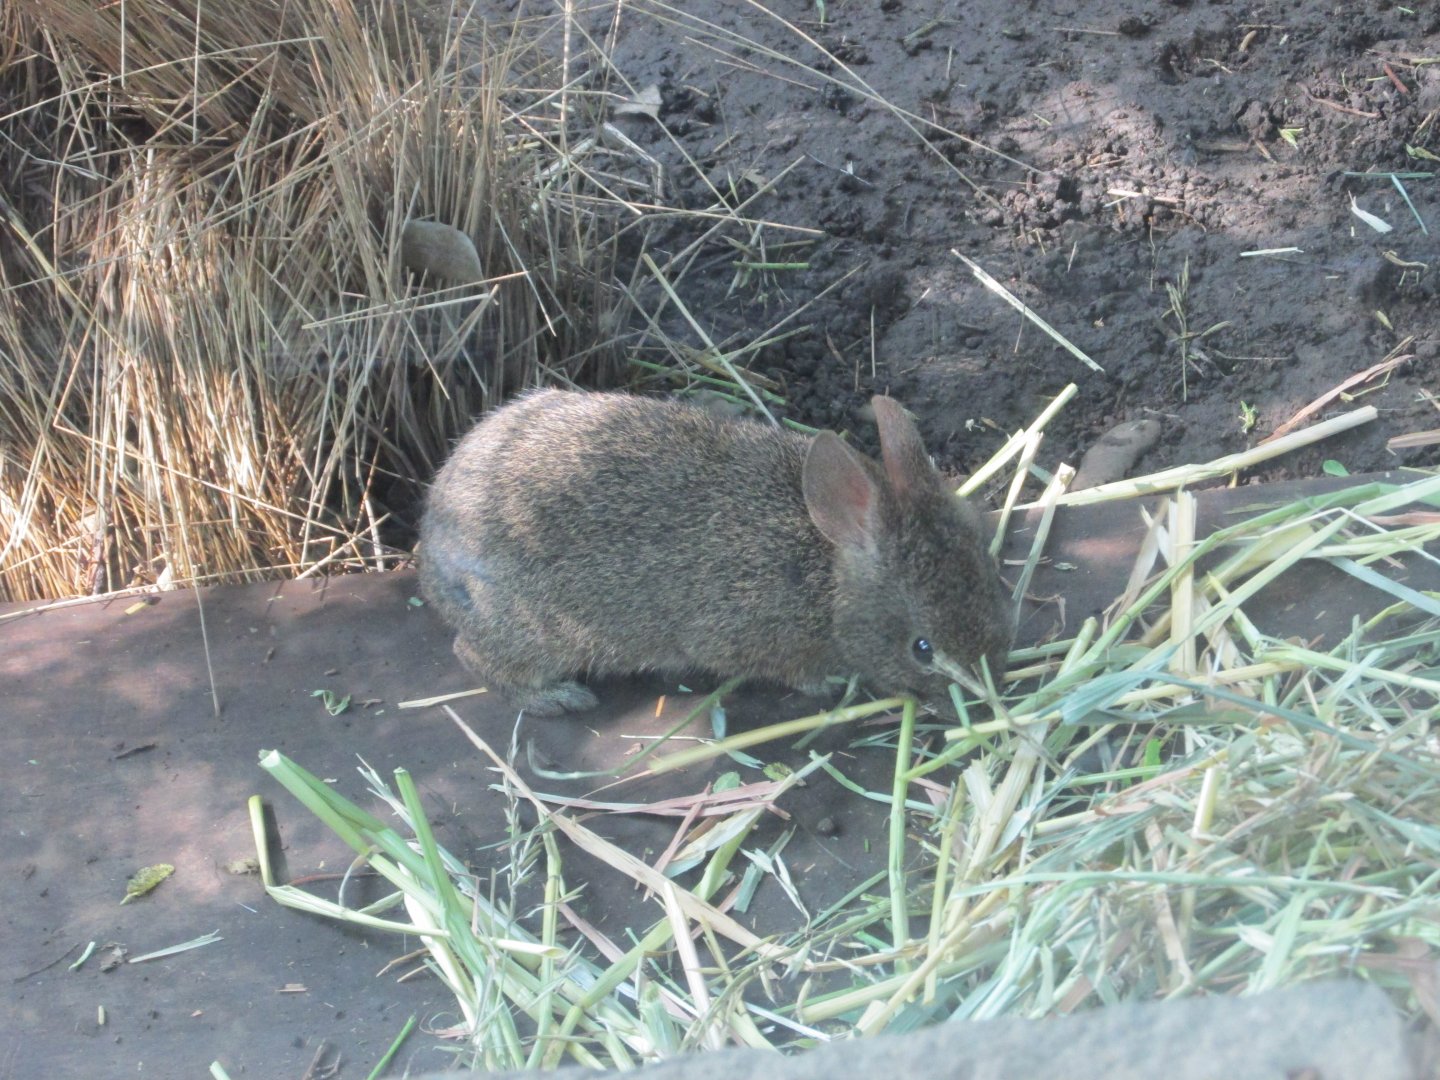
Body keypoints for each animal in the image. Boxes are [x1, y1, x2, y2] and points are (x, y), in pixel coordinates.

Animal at [417, 389, 1013, 716]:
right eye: (922, 649)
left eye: (995, 589)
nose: (990, 693)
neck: (827, 576)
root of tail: (431, 554)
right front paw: (830, 684)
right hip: (532, 632)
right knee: (474, 657)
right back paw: (558, 699)